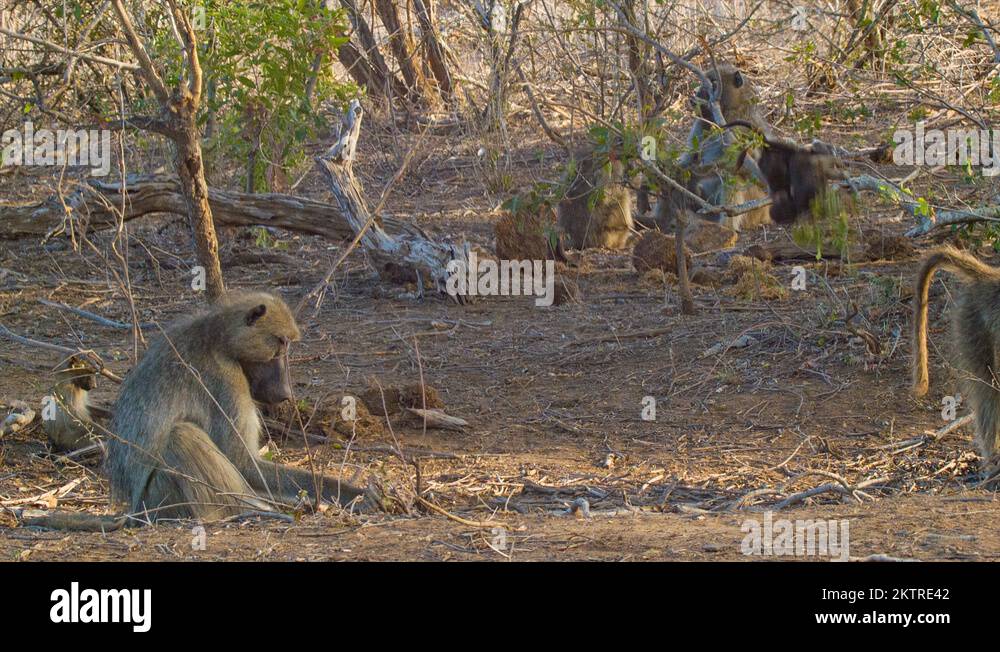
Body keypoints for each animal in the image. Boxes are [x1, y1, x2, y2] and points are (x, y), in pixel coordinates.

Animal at [105, 291, 379, 522]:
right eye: (280, 344)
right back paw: (252, 511)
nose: (286, 392)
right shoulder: (227, 379)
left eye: (287, 344)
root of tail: (135, 510)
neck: (219, 337)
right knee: (182, 435)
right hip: (161, 499)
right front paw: (356, 495)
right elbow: (244, 463)